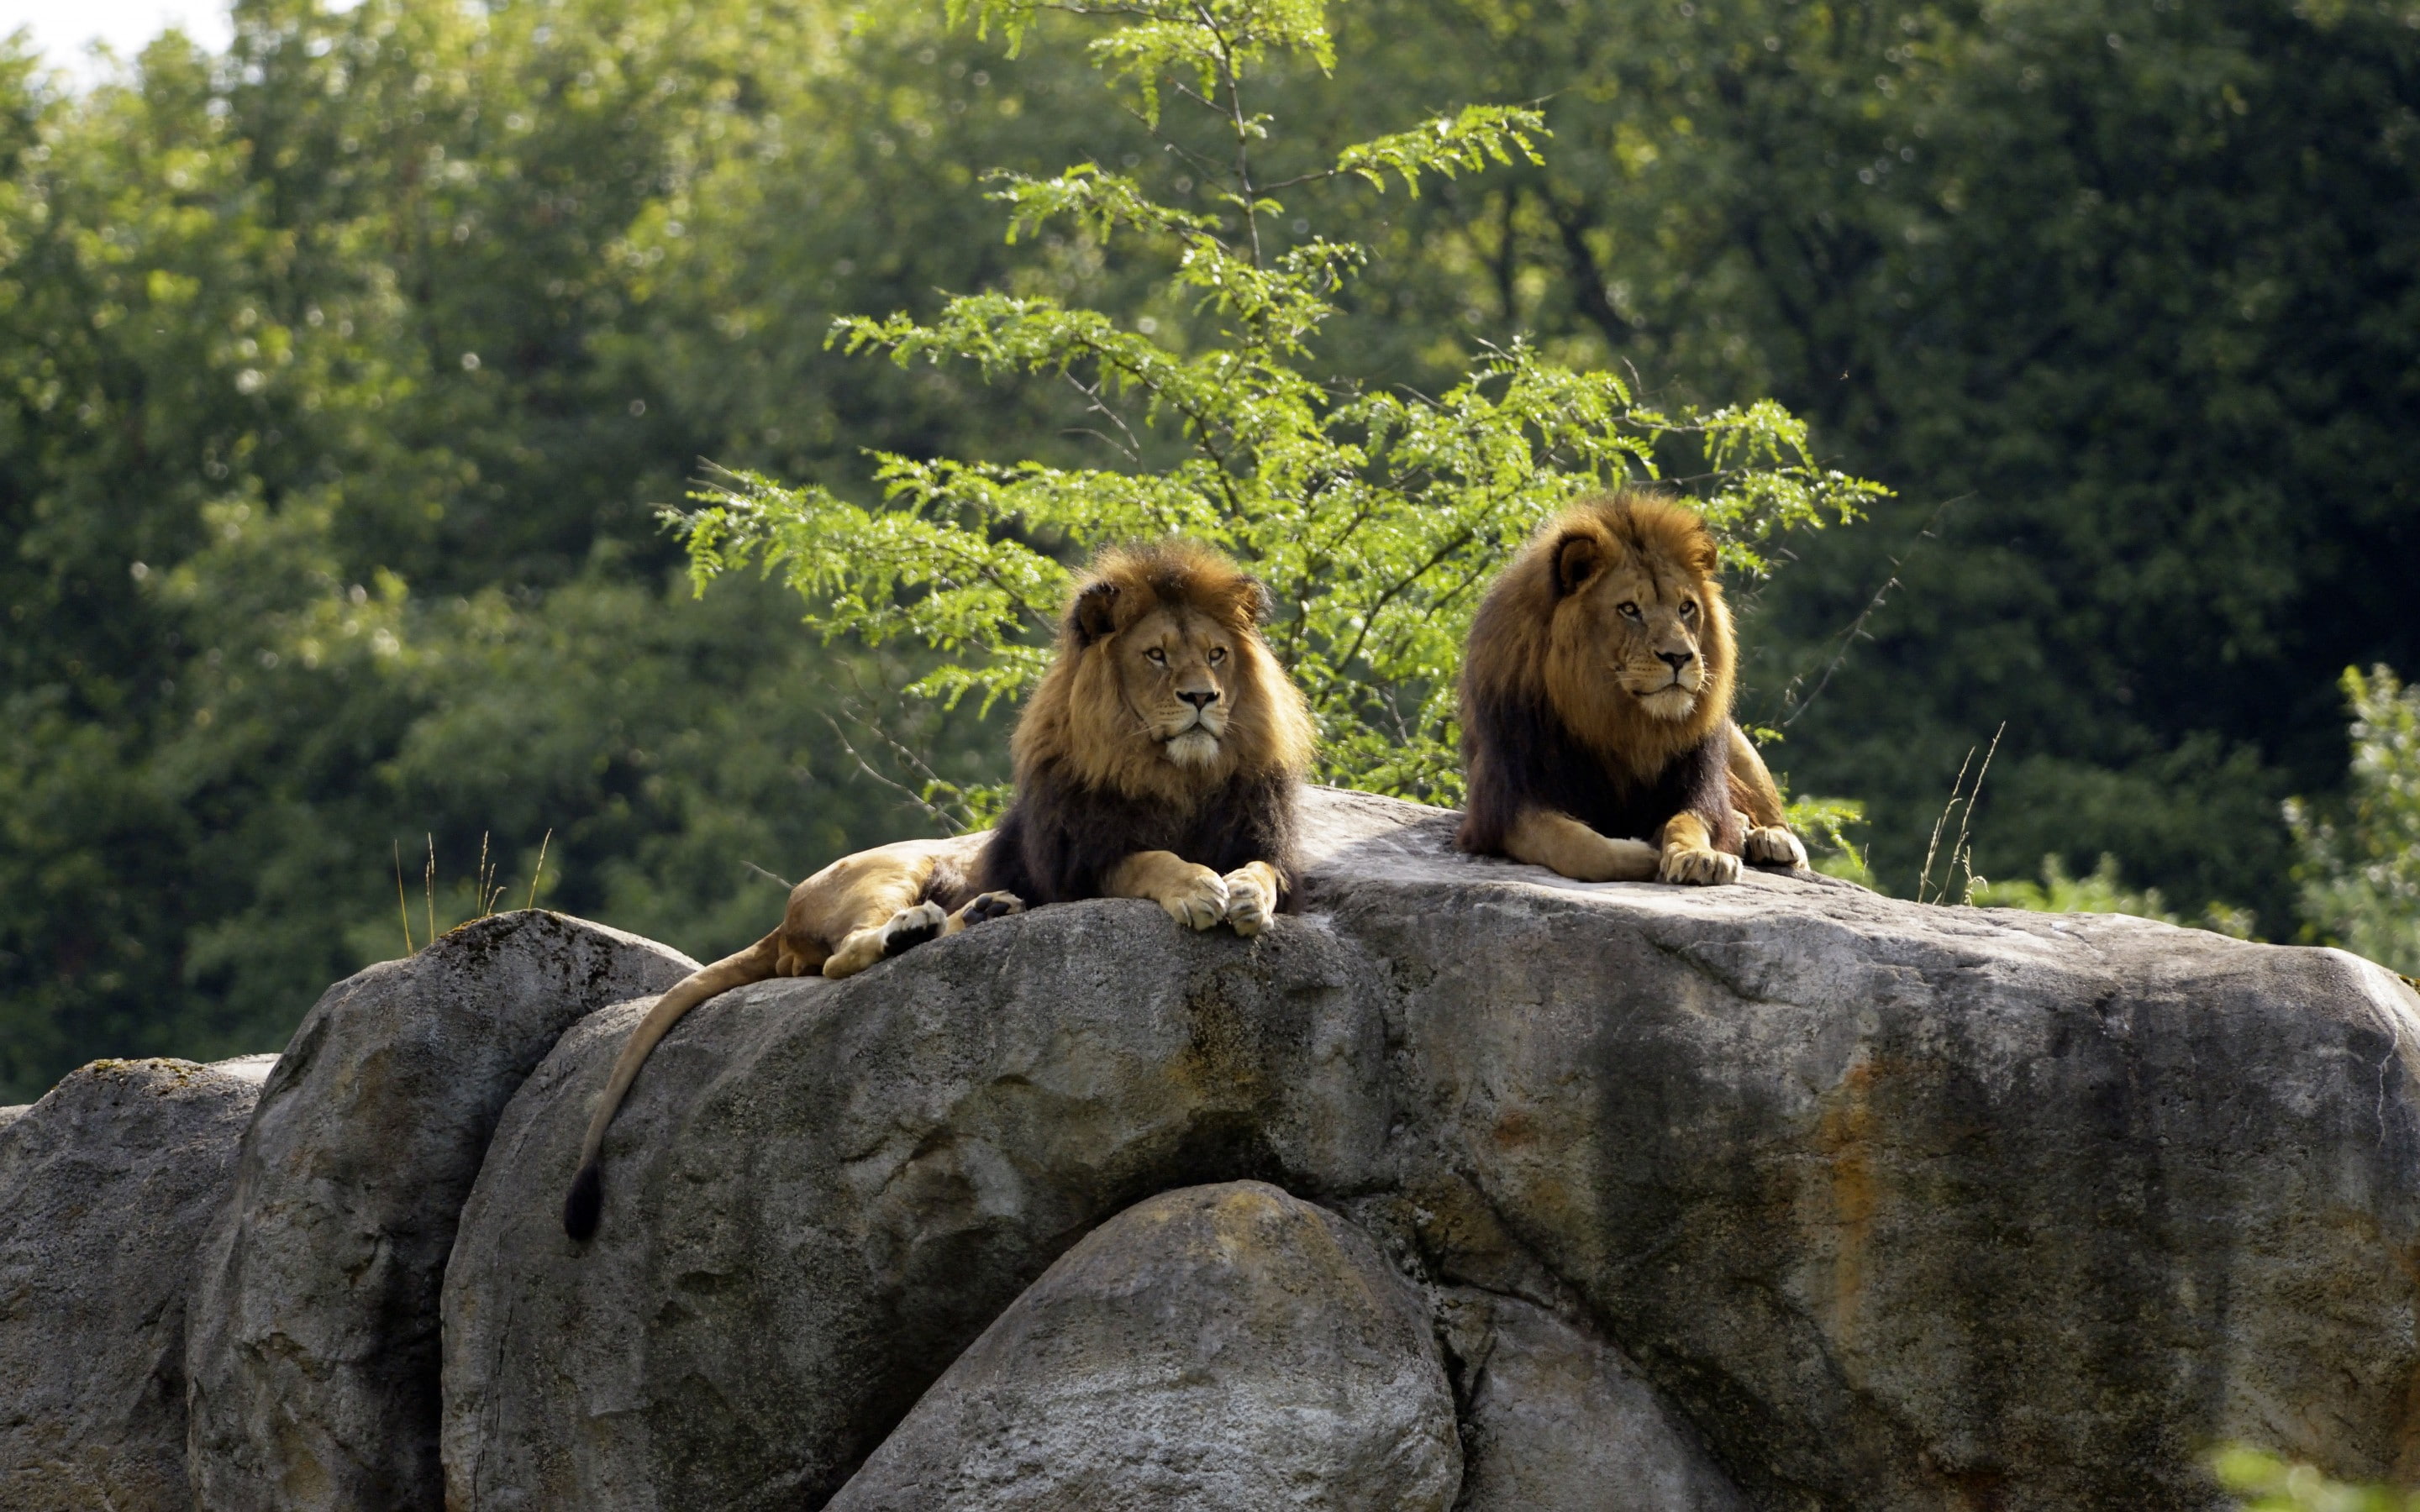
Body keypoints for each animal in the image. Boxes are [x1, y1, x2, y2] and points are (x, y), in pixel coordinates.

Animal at [562, 540, 1314, 1240]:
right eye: (1156, 656)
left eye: (1216, 655)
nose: (1202, 699)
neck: (1177, 776)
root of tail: (785, 918)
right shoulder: (1081, 865)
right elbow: (1152, 860)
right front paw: (1197, 888)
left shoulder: (1261, 838)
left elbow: (1262, 873)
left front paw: (1245, 896)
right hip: (891, 869)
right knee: (843, 957)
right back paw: (918, 928)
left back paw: (981, 912)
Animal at [1455, 490, 1809, 886]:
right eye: (1629, 609)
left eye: (1686, 607)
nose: (1679, 657)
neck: (1622, 723)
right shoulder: (1504, 809)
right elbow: (1578, 847)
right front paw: (1644, 854)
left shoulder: (1696, 790)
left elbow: (1688, 823)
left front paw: (1699, 856)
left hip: (1737, 745)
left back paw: (1770, 838)